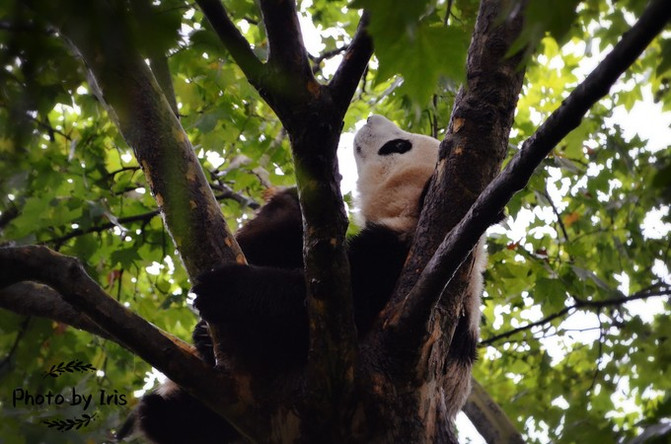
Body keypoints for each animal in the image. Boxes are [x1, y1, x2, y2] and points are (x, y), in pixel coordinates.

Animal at [126, 115, 484, 444]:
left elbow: (325, 306)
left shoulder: (400, 263)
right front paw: (285, 207)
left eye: (398, 146)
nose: (371, 118)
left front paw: (224, 291)